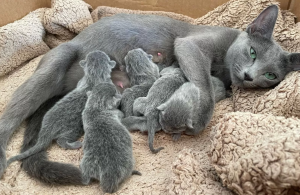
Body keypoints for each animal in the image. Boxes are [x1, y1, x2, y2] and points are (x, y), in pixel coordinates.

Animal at [0, 5, 298, 183]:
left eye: (271, 76)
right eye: (252, 52)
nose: (249, 76)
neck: (224, 65)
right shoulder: (191, 45)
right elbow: (203, 82)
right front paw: (201, 118)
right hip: (55, 63)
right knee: (10, 116)